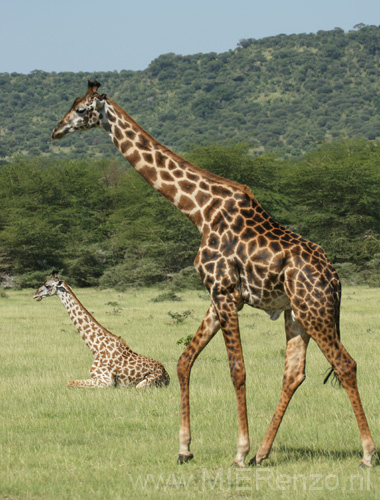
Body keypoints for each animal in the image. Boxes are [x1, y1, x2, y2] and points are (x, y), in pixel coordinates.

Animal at [33, 272, 170, 388]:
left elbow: (70, 382)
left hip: (141, 384)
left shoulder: (106, 381)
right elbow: (70, 381)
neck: (95, 348)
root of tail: (167, 375)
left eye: (47, 285)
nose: (35, 294)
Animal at [52, 82, 376, 468]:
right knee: (294, 373)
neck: (199, 210)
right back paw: (264, 453)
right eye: (72, 104)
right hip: (296, 313)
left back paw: (366, 454)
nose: (56, 130)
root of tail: (335, 278)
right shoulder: (216, 294)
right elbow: (184, 361)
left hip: (315, 309)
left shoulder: (224, 292)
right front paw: (184, 448)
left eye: (81, 109)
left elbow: (237, 369)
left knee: (345, 364)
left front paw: (239, 451)